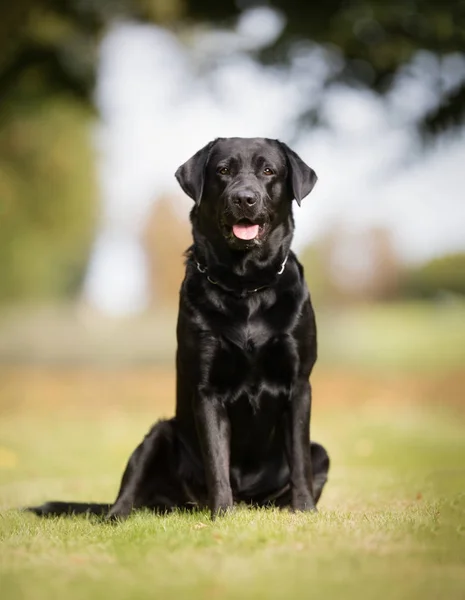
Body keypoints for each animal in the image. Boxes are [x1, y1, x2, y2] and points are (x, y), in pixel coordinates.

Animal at [27, 137, 328, 520]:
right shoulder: (207, 391)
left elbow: (300, 460)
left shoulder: (299, 384)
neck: (245, 286)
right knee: (126, 495)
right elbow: (217, 462)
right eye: (223, 170)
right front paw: (222, 515)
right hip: (157, 435)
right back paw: (119, 516)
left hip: (322, 453)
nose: (244, 198)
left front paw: (304, 511)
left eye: (268, 170)